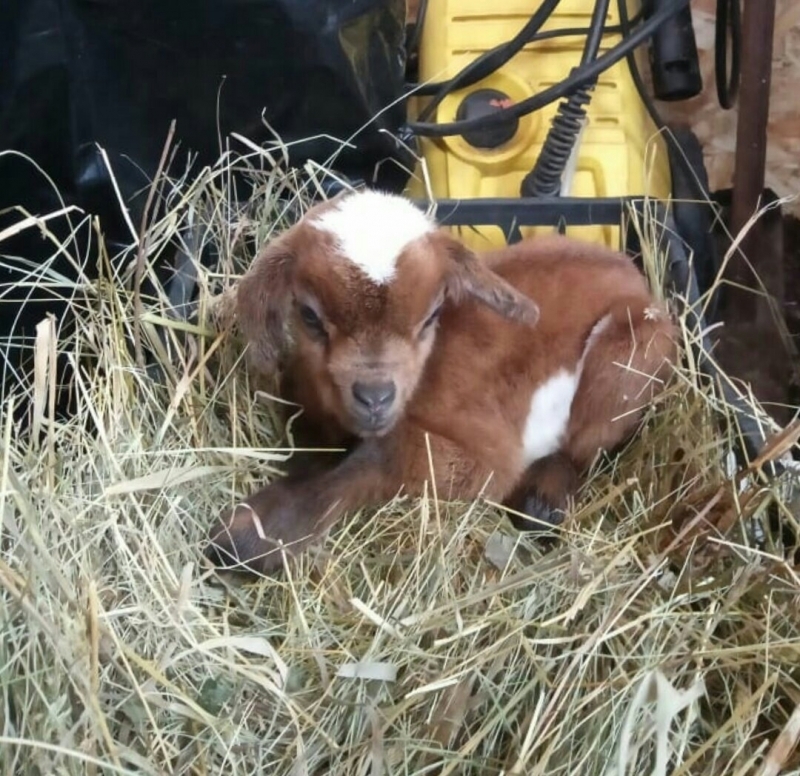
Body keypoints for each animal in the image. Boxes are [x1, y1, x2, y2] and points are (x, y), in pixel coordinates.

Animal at [206, 191, 676, 572]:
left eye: (431, 315)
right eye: (308, 316)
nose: (375, 396)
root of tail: (637, 279)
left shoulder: (477, 457)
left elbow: (373, 461)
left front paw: (248, 537)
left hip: (628, 356)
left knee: (585, 447)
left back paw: (543, 501)